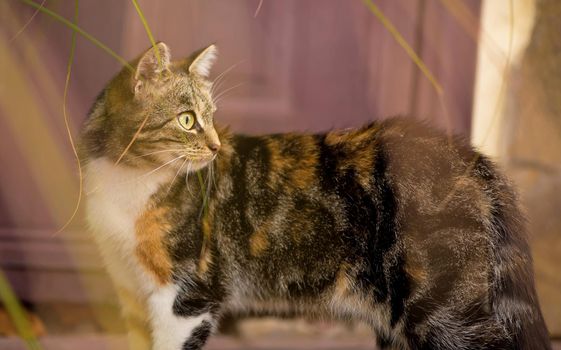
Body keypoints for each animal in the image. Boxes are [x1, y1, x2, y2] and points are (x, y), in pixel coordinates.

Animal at [81, 43, 548, 350]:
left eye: (210, 118)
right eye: (187, 119)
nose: (214, 146)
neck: (127, 181)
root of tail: (470, 154)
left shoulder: (186, 295)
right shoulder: (131, 292)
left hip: (443, 308)